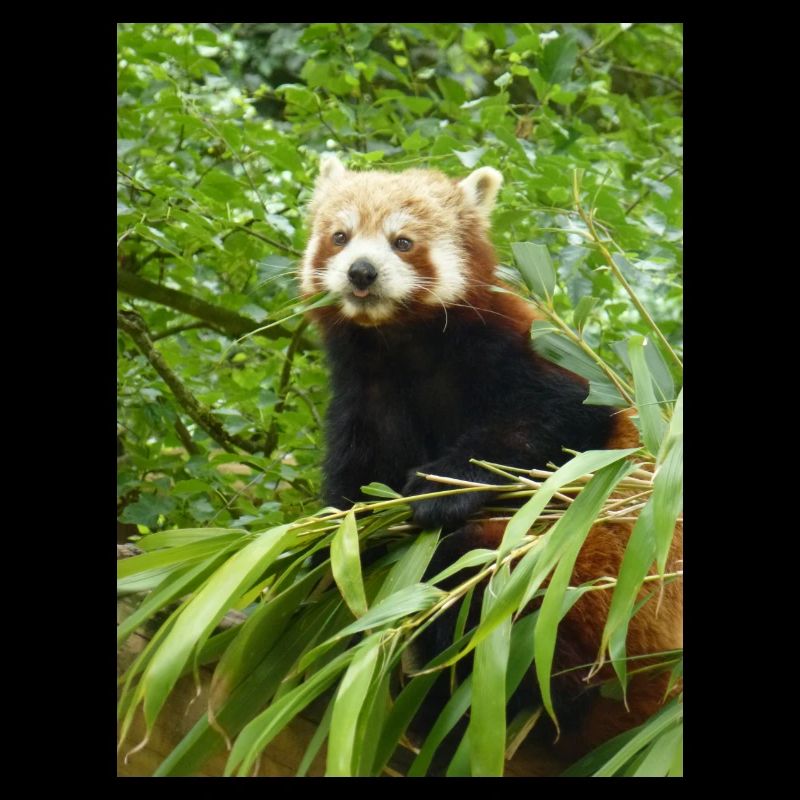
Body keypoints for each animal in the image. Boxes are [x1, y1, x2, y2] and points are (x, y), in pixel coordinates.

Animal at [300, 153, 683, 765]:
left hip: (607, 597)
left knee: (478, 573)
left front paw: (443, 487)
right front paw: (335, 541)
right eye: (340, 236)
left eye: (403, 242)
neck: (402, 343)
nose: (361, 272)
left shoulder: (524, 354)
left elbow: (549, 421)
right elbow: (357, 487)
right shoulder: (368, 397)